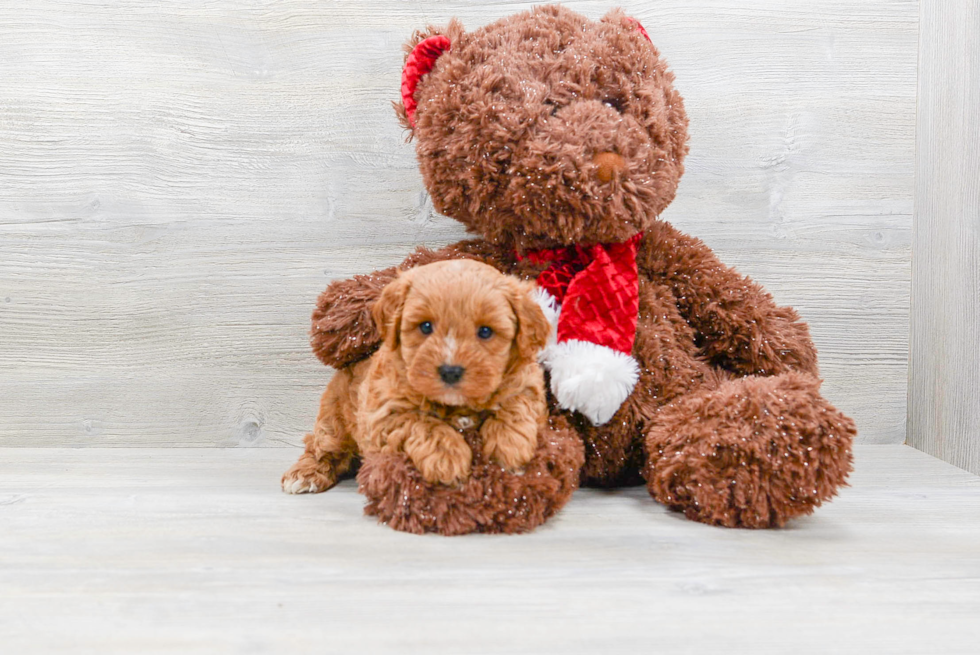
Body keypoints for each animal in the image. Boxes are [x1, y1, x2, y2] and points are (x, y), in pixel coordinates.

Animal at [282, 258, 552, 494]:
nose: (450, 371)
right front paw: (448, 458)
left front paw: (510, 446)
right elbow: (422, 424)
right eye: (425, 326)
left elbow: (516, 404)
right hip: (333, 419)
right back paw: (305, 474)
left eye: (485, 332)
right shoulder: (383, 414)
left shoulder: (529, 383)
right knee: (321, 446)